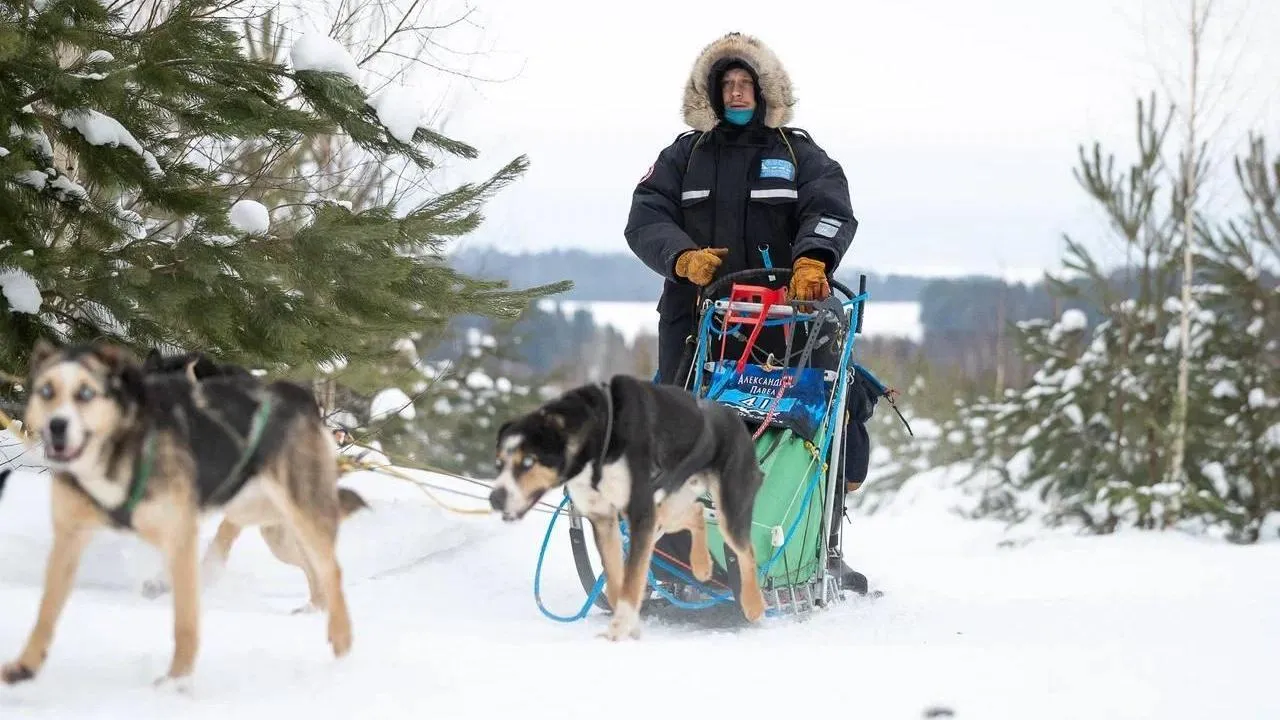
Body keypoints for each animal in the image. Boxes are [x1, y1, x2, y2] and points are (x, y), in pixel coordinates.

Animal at [491, 371, 762, 635]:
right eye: (499, 463)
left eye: (528, 461)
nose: (495, 498)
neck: (602, 435)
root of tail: (734, 416)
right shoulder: (605, 519)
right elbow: (615, 575)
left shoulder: (641, 515)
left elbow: (632, 577)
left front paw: (622, 624)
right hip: (669, 507)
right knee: (696, 512)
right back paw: (702, 565)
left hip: (726, 511)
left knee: (746, 551)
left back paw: (753, 605)